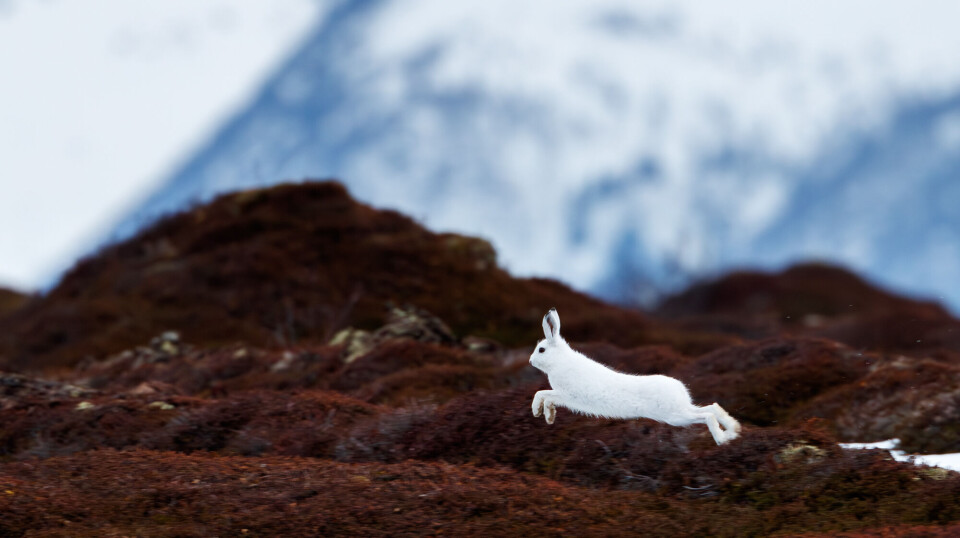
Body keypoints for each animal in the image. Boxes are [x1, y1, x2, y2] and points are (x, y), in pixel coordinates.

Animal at [529, 308, 740, 445]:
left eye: (541, 350)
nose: (530, 361)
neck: (559, 360)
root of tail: (680, 390)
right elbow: (546, 396)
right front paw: (548, 416)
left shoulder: (566, 394)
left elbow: (542, 394)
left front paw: (539, 412)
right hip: (681, 411)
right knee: (712, 408)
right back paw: (733, 431)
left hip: (675, 416)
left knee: (707, 415)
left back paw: (722, 439)